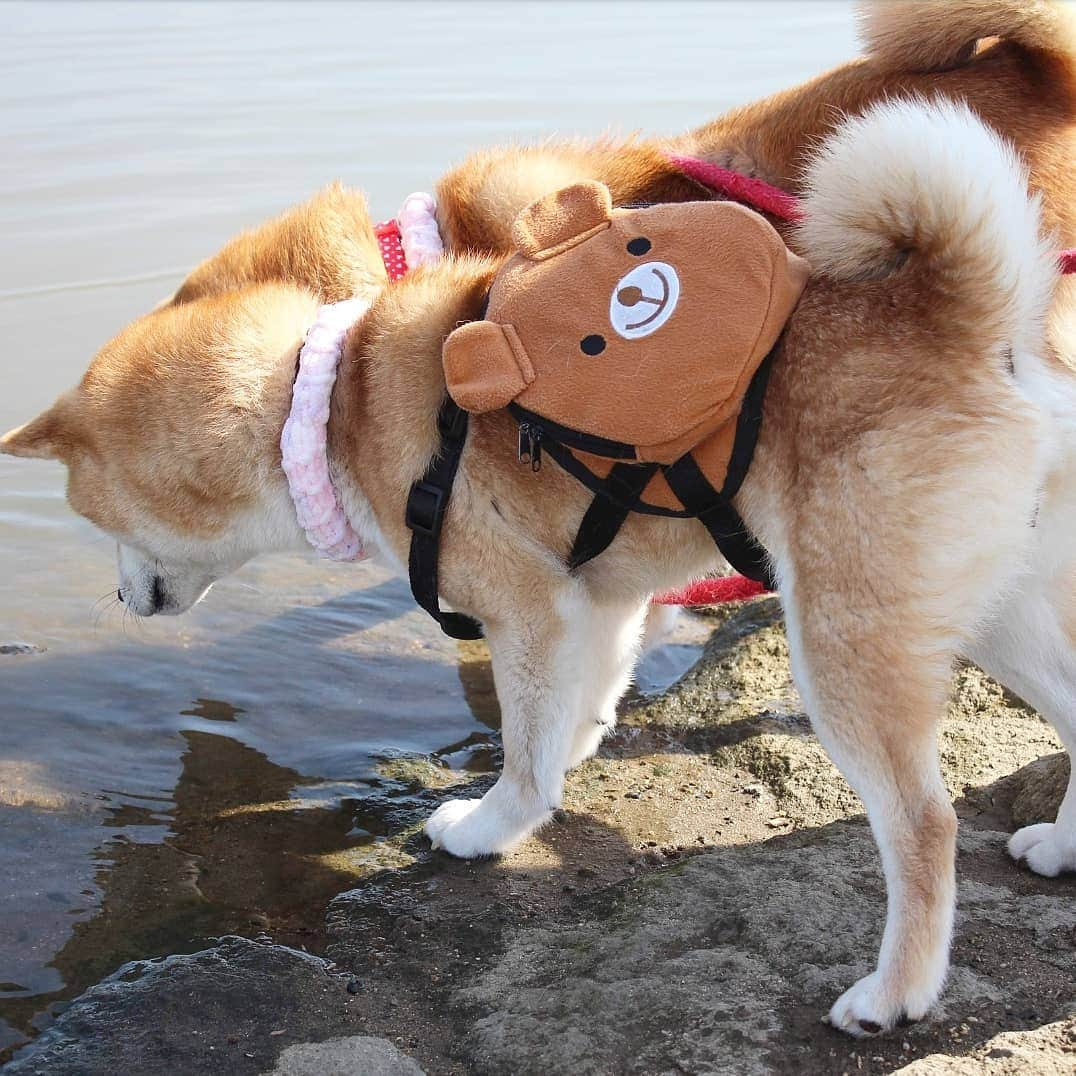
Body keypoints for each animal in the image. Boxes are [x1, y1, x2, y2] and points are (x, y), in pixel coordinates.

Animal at [6, 101, 1067, 1041]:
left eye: (94, 520)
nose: (117, 596)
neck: (333, 399)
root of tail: (966, 315)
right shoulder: (595, 595)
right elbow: (573, 706)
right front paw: (573, 752)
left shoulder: (526, 607)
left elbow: (521, 748)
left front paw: (490, 827)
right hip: (995, 613)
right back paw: (1059, 843)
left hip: (846, 638)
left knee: (923, 826)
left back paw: (896, 993)